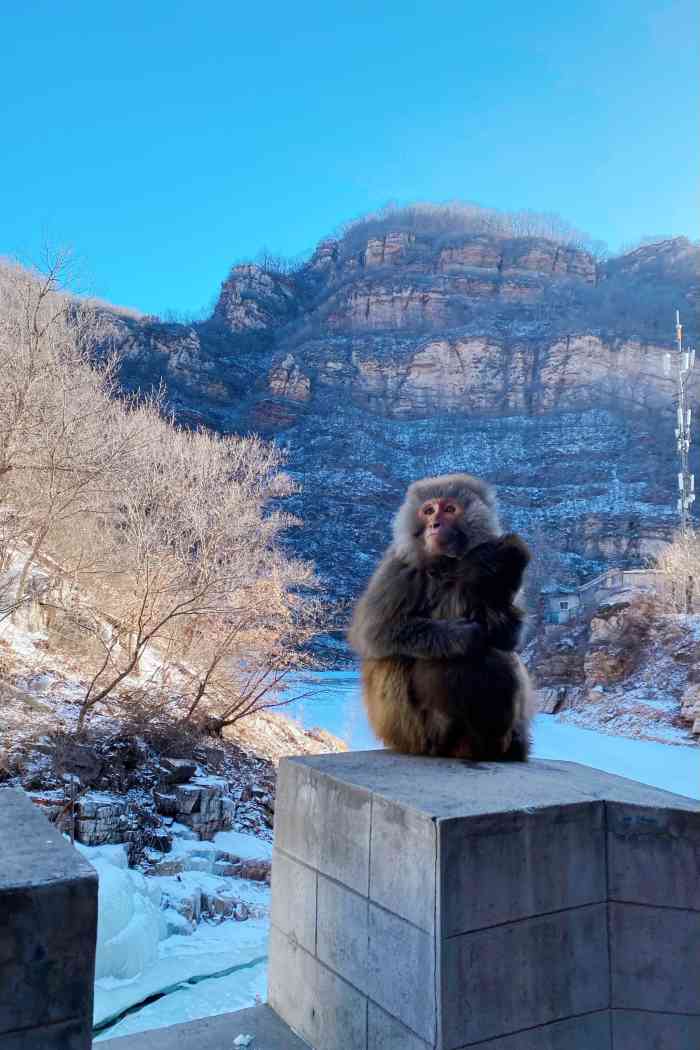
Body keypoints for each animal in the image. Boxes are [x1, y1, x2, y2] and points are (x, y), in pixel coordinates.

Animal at [348, 476, 533, 764]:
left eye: (449, 509)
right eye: (429, 510)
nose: (434, 524)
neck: (446, 563)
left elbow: (510, 637)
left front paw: (496, 580)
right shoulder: (399, 567)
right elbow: (376, 633)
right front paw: (463, 634)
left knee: (500, 652)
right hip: (407, 730)